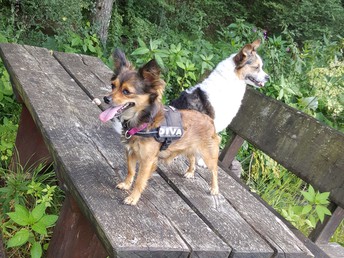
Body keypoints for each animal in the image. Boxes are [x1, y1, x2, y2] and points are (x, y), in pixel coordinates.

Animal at [99, 49, 219, 205]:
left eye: (126, 91)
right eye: (113, 85)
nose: (106, 98)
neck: (142, 122)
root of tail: (208, 118)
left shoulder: (147, 160)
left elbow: (140, 179)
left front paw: (133, 197)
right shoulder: (131, 152)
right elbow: (131, 171)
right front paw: (126, 184)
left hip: (208, 154)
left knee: (214, 170)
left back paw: (214, 188)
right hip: (188, 147)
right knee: (192, 157)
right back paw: (190, 172)